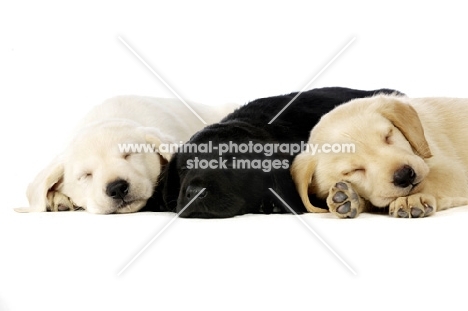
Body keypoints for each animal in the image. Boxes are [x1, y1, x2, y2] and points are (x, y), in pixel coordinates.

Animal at [292, 95, 468, 219]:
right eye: (354, 170)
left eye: (388, 136)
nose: (404, 175)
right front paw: (348, 198)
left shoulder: (455, 172)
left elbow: (431, 181)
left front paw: (412, 198)